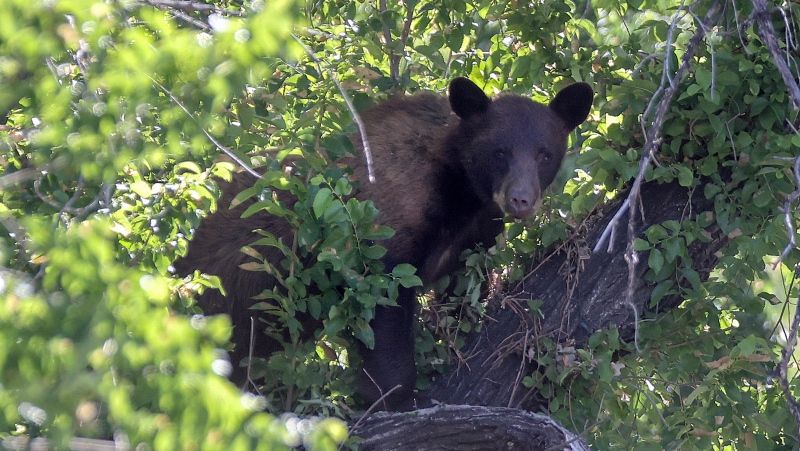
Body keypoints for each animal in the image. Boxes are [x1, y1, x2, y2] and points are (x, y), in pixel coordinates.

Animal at [175, 77, 592, 410]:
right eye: (500, 151)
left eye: (544, 154)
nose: (521, 200)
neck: (460, 190)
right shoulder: (384, 223)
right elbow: (383, 304)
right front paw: (397, 397)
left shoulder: (475, 232)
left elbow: (463, 291)